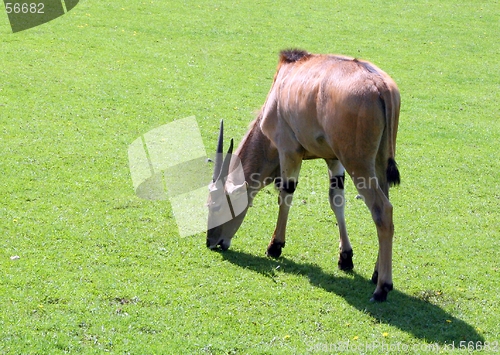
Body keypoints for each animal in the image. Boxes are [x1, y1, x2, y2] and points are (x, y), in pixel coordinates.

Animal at [205, 48, 400, 302]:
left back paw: (382, 288)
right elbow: (336, 201)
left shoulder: (289, 151)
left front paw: (275, 246)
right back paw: (376, 273)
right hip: (378, 164)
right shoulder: (333, 160)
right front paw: (345, 258)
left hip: (358, 165)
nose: (211, 242)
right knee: (386, 206)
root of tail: (381, 85)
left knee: (382, 210)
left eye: (215, 205)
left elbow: (285, 195)